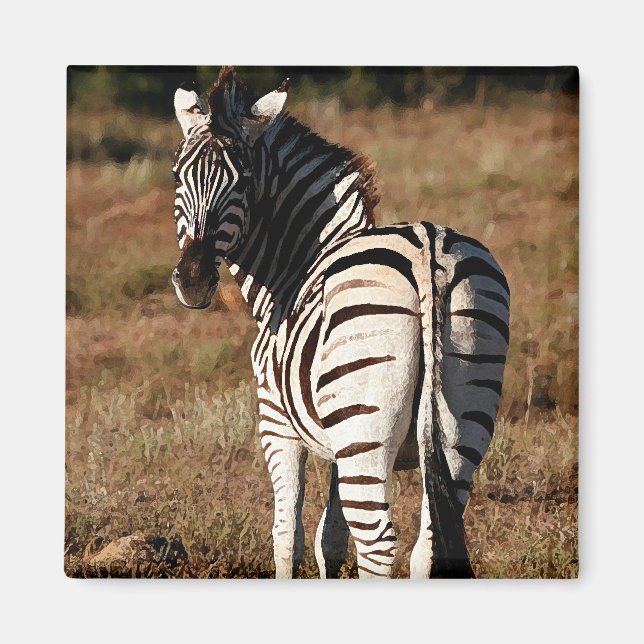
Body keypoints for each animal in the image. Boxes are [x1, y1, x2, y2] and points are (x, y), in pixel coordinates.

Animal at [170, 67, 510, 579]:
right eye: (176, 175)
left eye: (244, 181)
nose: (192, 281)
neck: (296, 266)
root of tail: (427, 245)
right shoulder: (336, 440)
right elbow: (329, 536)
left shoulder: (277, 424)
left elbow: (287, 535)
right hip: (459, 417)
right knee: (429, 544)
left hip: (366, 425)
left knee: (378, 544)